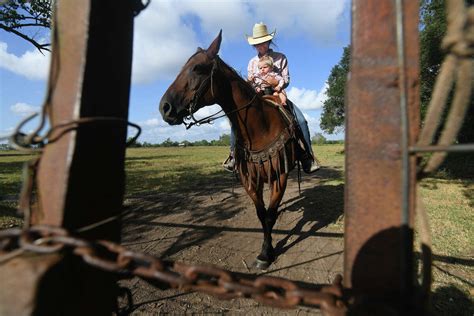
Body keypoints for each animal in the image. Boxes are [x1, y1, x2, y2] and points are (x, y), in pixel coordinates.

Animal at [159, 30, 300, 270]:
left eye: (197, 68)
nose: (164, 107)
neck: (260, 128)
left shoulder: (279, 176)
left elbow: (270, 216)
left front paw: (266, 254)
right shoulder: (248, 178)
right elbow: (261, 214)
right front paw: (265, 251)